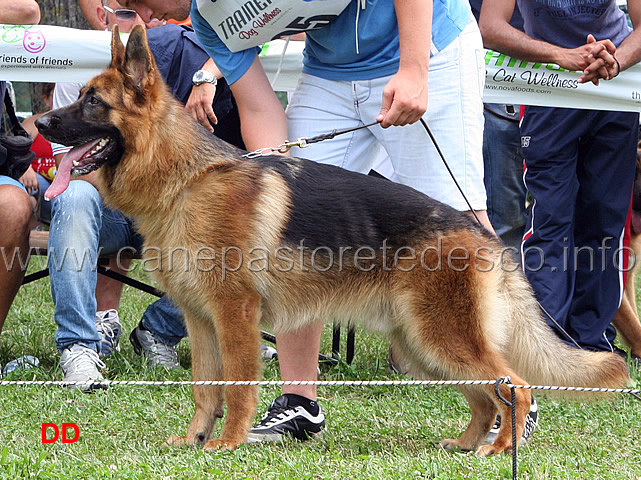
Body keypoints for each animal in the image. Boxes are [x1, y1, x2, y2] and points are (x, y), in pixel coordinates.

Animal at [35, 26, 624, 454]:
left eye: (93, 103)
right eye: (79, 97)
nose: (38, 122)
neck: (185, 179)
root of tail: (488, 239)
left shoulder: (234, 317)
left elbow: (237, 386)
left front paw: (226, 445)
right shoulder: (201, 322)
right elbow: (205, 388)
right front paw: (195, 439)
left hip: (441, 340)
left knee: (514, 387)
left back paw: (501, 448)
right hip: (422, 346)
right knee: (484, 398)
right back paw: (464, 443)